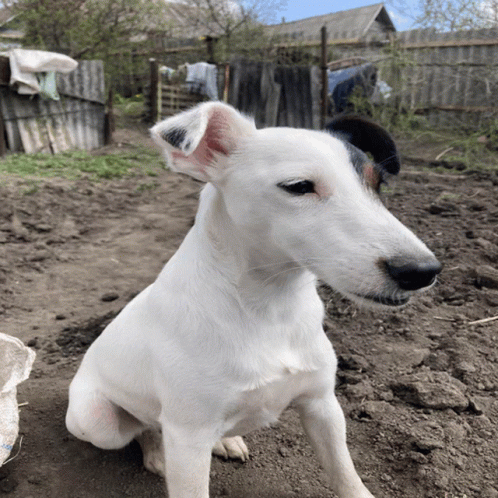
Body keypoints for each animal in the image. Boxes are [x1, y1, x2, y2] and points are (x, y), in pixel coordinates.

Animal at [65, 102, 440, 498]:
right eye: (299, 186)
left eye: (379, 184)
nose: (422, 271)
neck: (270, 307)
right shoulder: (188, 437)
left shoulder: (322, 405)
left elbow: (346, 475)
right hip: (97, 422)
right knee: (145, 427)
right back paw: (156, 453)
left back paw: (224, 441)